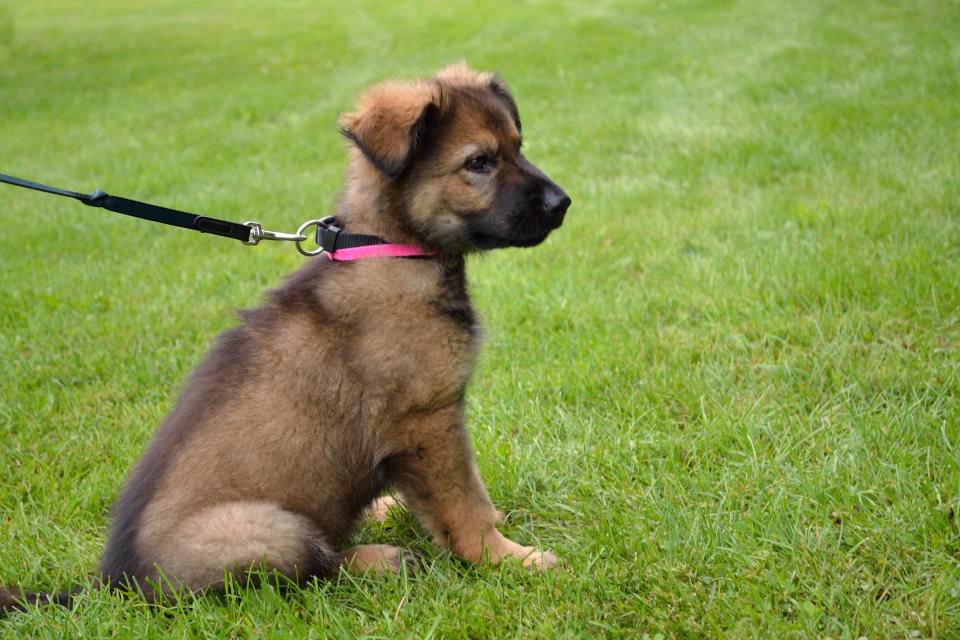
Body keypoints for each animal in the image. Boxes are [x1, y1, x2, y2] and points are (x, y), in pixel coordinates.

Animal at [0, 62, 568, 612]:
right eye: (479, 162)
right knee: (314, 569)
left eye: (518, 145)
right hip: (266, 529)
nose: (563, 202)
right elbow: (467, 506)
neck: (390, 247)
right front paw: (507, 558)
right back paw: (377, 558)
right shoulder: (427, 421)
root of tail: (115, 587)